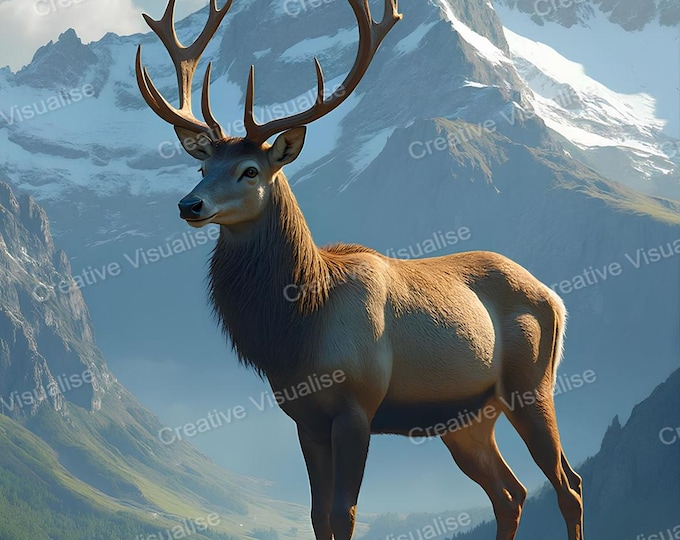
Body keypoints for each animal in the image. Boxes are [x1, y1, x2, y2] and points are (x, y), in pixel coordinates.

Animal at [135, 1, 584, 539]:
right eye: (203, 168)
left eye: (250, 170)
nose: (190, 204)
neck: (301, 324)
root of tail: (555, 298)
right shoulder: (304, 419)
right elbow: (315, 514)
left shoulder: (357, 406)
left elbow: (342, 512)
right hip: (467, 417)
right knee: (510, 493)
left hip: (531, 385)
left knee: (568, 485)